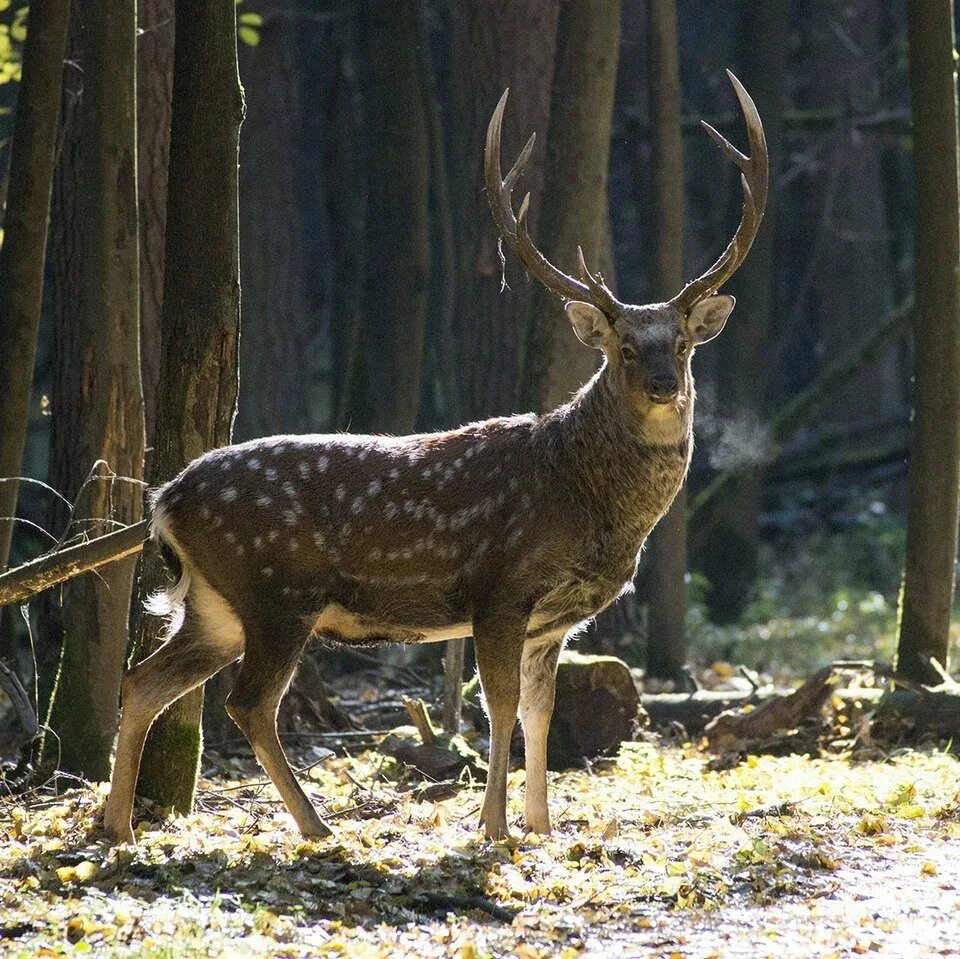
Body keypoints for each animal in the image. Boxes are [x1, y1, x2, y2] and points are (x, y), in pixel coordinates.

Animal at [101, 71, 768, 844]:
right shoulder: (500, 587)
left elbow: (540, 712)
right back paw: (315, 826)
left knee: (143, 680)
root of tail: (163, 501)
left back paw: (117, 827)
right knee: (247, 703)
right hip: (275, 590)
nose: (664, 384)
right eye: (625, 348)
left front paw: (542, 826)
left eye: (683, 343)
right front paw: (495, 829)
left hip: (217, 606)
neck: (588, 499)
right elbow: (499, 708)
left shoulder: (553, 619)